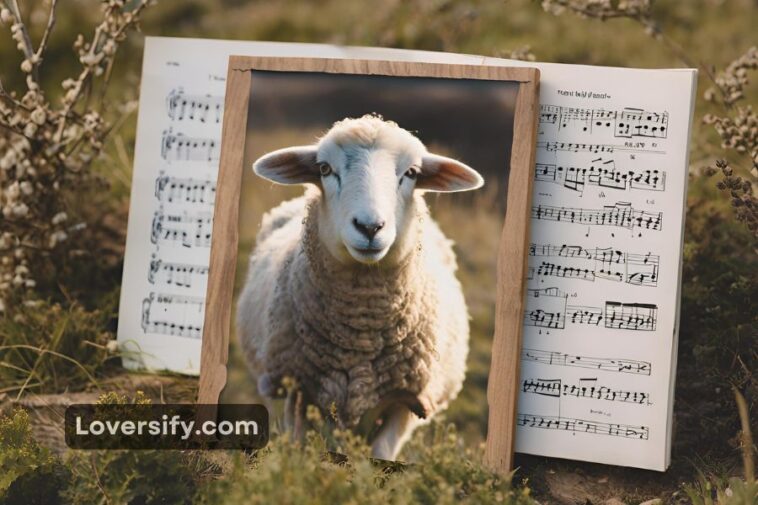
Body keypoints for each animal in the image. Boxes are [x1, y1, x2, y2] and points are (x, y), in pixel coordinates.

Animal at [237, 114, 484, 460]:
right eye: (325, 168)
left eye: (412, 173)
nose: (369, 227)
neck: (361, 331)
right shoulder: (298, 387)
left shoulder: (407, 401)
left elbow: (383, 454)